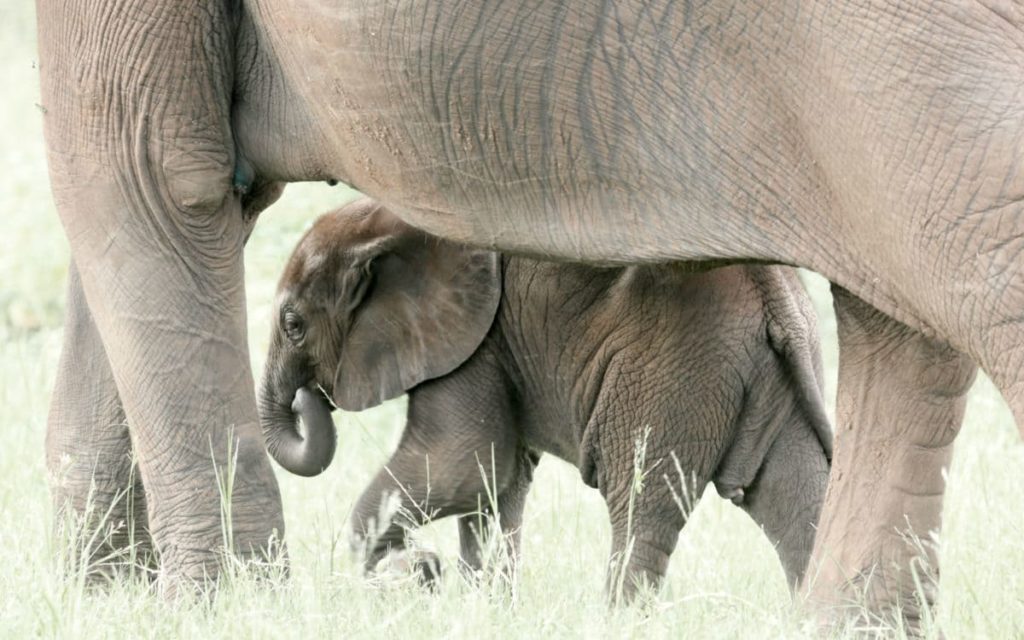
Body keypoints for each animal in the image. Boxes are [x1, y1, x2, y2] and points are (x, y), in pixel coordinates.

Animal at [258, 197, 831, 598]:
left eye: (293, 325)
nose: (308, 399)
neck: (386, 218)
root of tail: (773, 294)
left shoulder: (475, 339)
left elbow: (460, 465)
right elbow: (497, 482)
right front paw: (483, 604)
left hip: (670, 371)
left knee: (638, 508)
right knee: (799, 492)